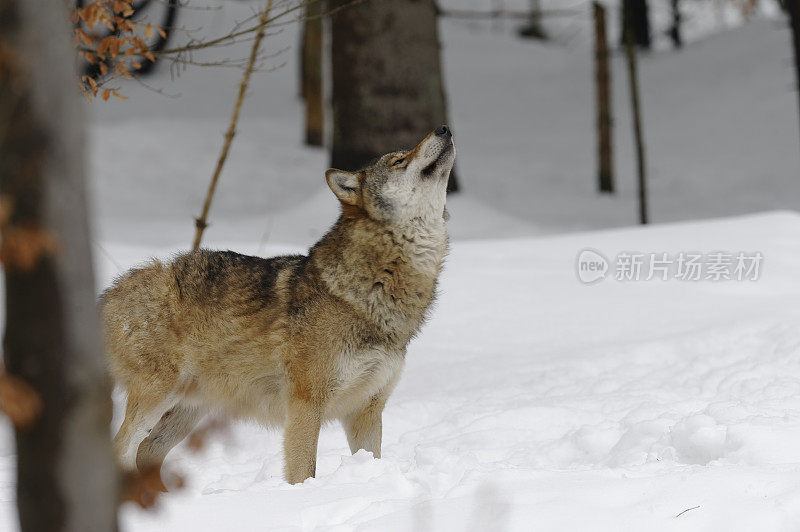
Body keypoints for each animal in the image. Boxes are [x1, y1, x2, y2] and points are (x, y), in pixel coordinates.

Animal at [101, 127, 456, 484]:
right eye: (399, 160)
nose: (444, 129)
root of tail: (109, 292)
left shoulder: (367, 409)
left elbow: (371, 458)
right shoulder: (305, 405)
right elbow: (304, 471)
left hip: (188, 411)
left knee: (146, 451)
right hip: (159, 396)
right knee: (121, 448)